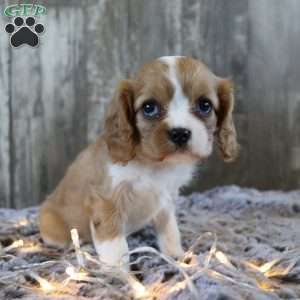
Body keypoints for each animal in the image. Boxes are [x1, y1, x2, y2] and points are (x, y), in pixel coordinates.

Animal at [38, 56, 239, 268]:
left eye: (204, 105)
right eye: (149, 108)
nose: (180, 133)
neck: (153, 164)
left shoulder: (165, 201)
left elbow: (170, 231)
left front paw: (176, 256)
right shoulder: (107, 201)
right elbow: (114, 244)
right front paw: (119, 271)